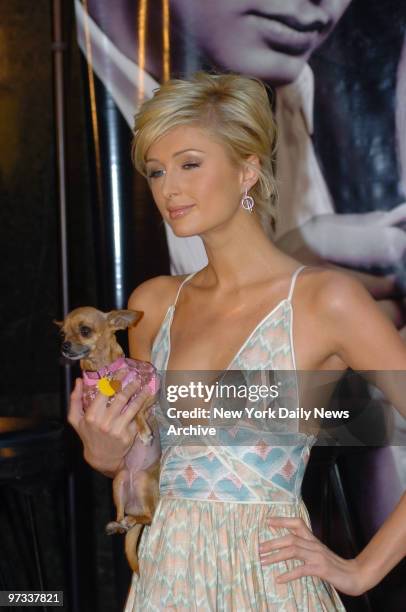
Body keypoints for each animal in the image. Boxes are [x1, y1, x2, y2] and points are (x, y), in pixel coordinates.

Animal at [56, 308, 161, 576]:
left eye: (85, 330)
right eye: (62, 333)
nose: (64, 345)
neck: (102, 371)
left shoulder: (149, 389)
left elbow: (137, 411)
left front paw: (143, 431)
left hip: (143, 484)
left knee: (149, 517)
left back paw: (131, 520)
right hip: (119, 484)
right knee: (127, 515)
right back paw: (119, 524)